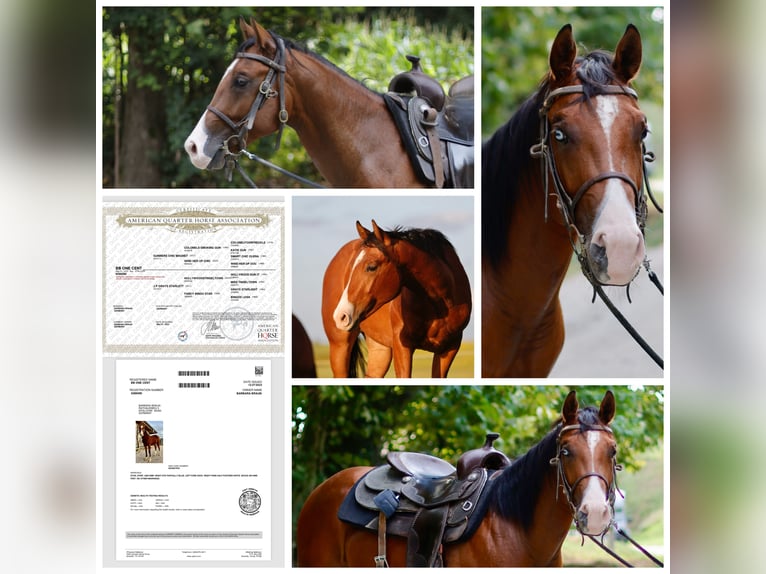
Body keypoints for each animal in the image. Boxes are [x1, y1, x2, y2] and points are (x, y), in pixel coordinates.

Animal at [321, 220, 471, 378]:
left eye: (371, 267)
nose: (341, 316)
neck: (439, 305)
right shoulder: (402, 345)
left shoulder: (449, 349)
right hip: (340, 345)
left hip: (380, 348)